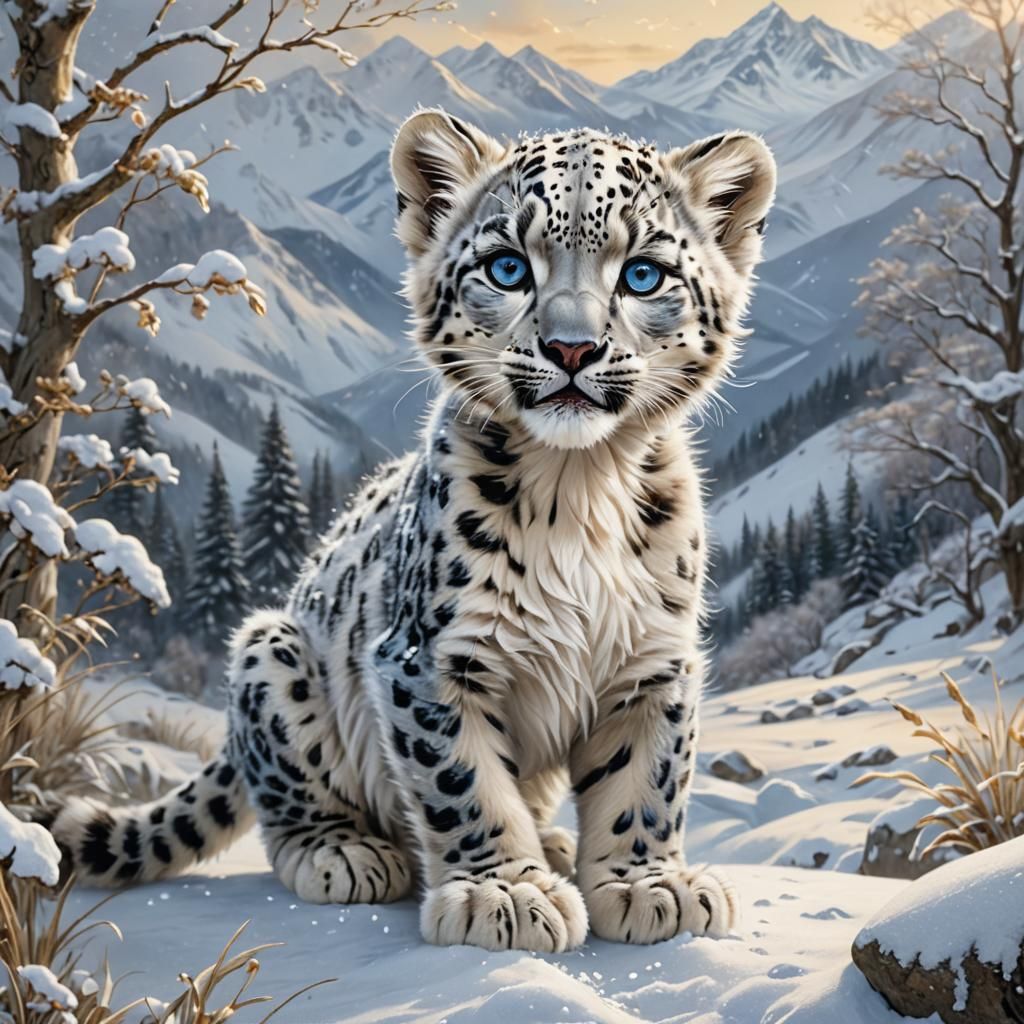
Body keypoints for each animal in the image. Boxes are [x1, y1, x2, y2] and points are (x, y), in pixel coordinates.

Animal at [50, 109, 776, 952]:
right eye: (507, 268)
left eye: (643, 275)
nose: (571, 347)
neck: (580, 489)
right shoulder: (431, 659)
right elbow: (463, 781)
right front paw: (506, 895)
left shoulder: (654, 662)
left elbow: (647, 778)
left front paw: (645, 885)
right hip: (271, 655)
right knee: (291, 801)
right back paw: (347, 853)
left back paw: (557, 844)